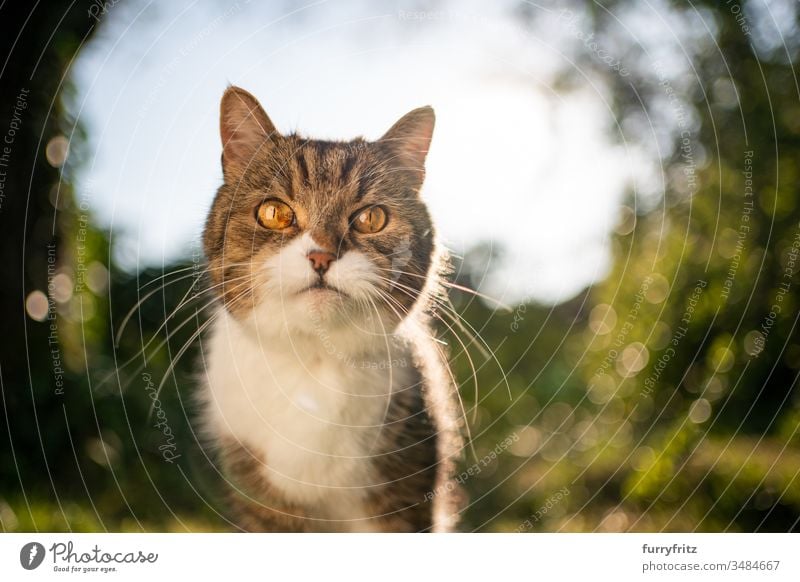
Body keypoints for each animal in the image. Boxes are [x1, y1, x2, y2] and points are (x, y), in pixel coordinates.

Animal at [198, 85, 466, 532]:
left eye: (371, 218)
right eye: (274, 213)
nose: (321, 256)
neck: (312, 361)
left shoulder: (403, 493)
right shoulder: (262, 501)